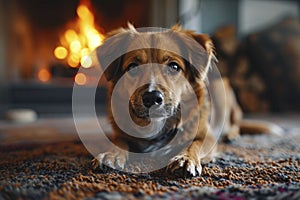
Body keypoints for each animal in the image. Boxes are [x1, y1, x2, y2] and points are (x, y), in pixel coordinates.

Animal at [91, 23, 282, 177]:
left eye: (174, 66)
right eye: (132, 67)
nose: (152, 97)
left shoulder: (207, 136)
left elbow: (193, 145)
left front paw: (185, 158)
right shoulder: (120, 134)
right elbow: (119, 141)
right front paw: (112, 154)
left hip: (223, 90)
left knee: (234, 125)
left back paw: (231, 135)